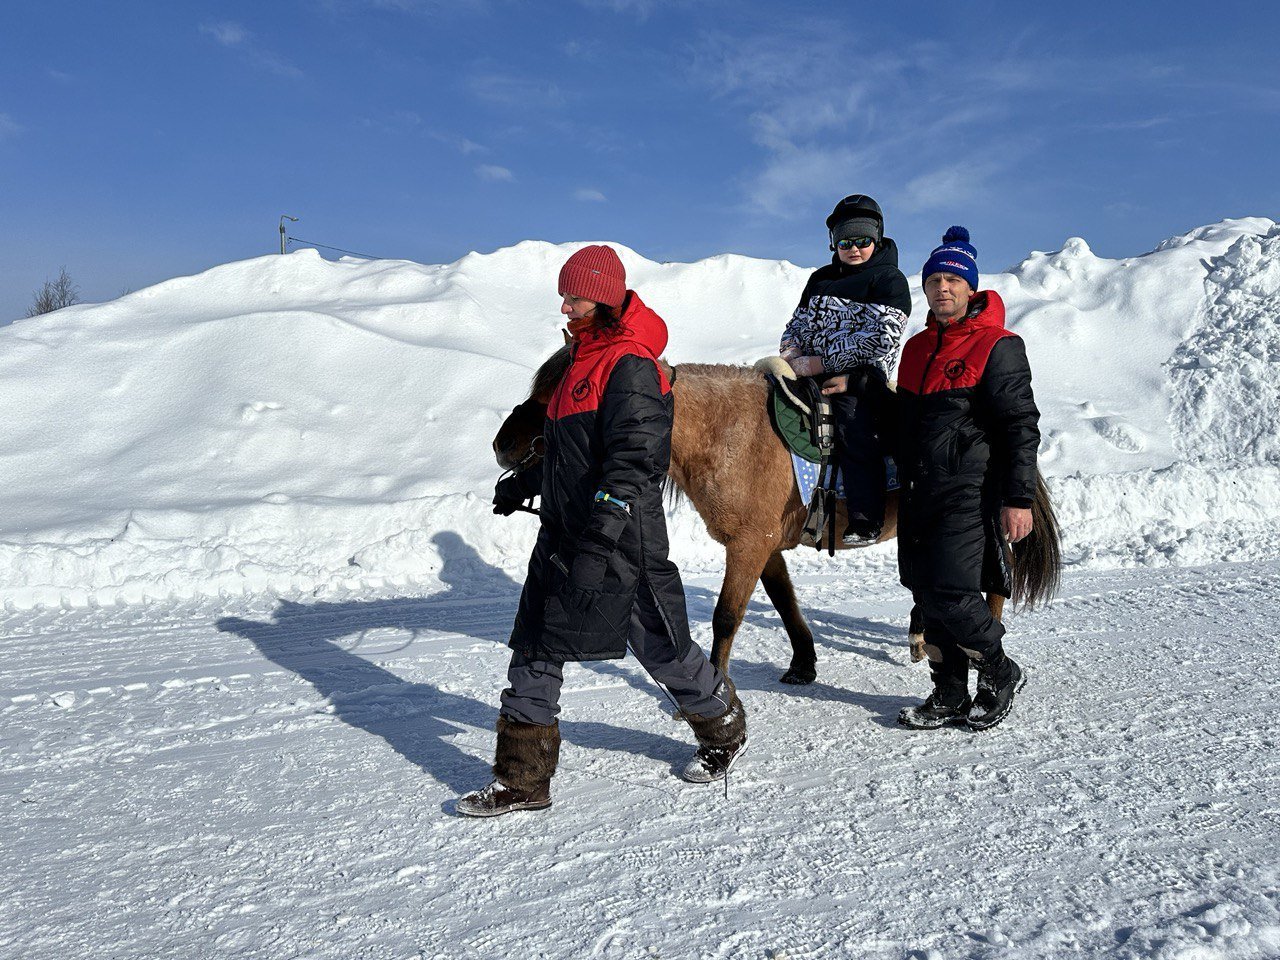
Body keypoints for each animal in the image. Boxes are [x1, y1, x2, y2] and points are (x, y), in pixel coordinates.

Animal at [491, 345, 1059, 686]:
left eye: (567, 391)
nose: (503, 443)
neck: (729, 433)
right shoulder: (764, 546)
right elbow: (786, 605)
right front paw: (803, 665)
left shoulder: (748, 545)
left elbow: (726, 616)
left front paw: (718, 683)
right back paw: (922, 636)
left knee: (992, 588)